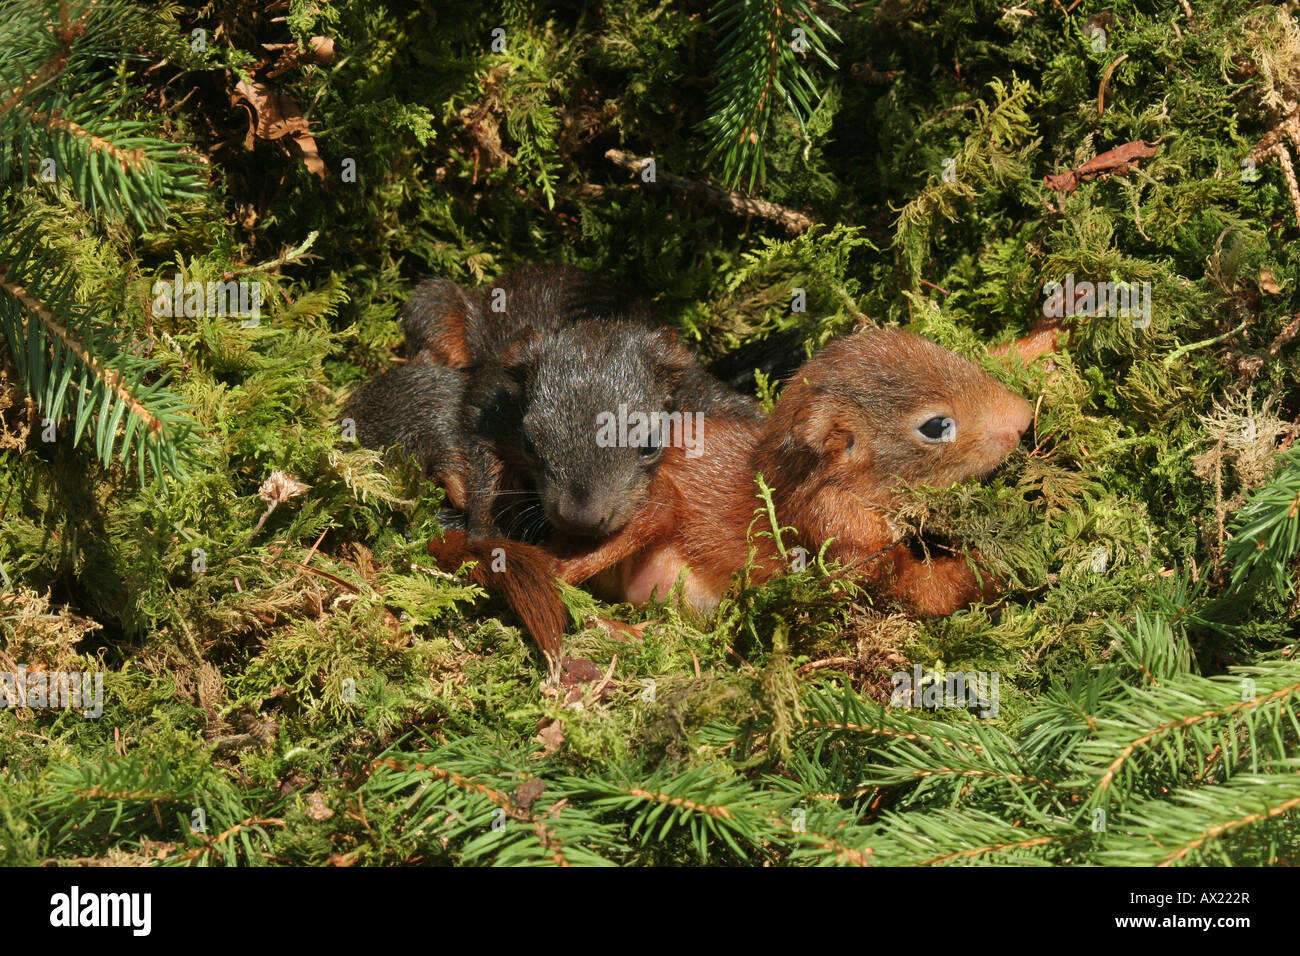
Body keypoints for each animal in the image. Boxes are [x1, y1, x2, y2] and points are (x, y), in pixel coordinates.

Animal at [437, 327, 1035, 661]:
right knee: (560, 578)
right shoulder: (841, 542)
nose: (1025, 417)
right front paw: (1000, 572)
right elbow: (921, 592)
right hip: (650, 512)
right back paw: (626, 632)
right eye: (936, 427)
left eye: (951, 354)